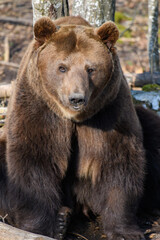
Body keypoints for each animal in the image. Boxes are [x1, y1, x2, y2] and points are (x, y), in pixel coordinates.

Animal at [0, 15, 159, 240]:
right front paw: (43, 226)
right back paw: (62, 218)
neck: (73, 118)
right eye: (62, 67)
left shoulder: (109, 111)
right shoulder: (38, 108)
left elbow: (119, 162)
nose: (76, 98)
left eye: (91, 69)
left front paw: (124, 231)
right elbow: (33, 159)